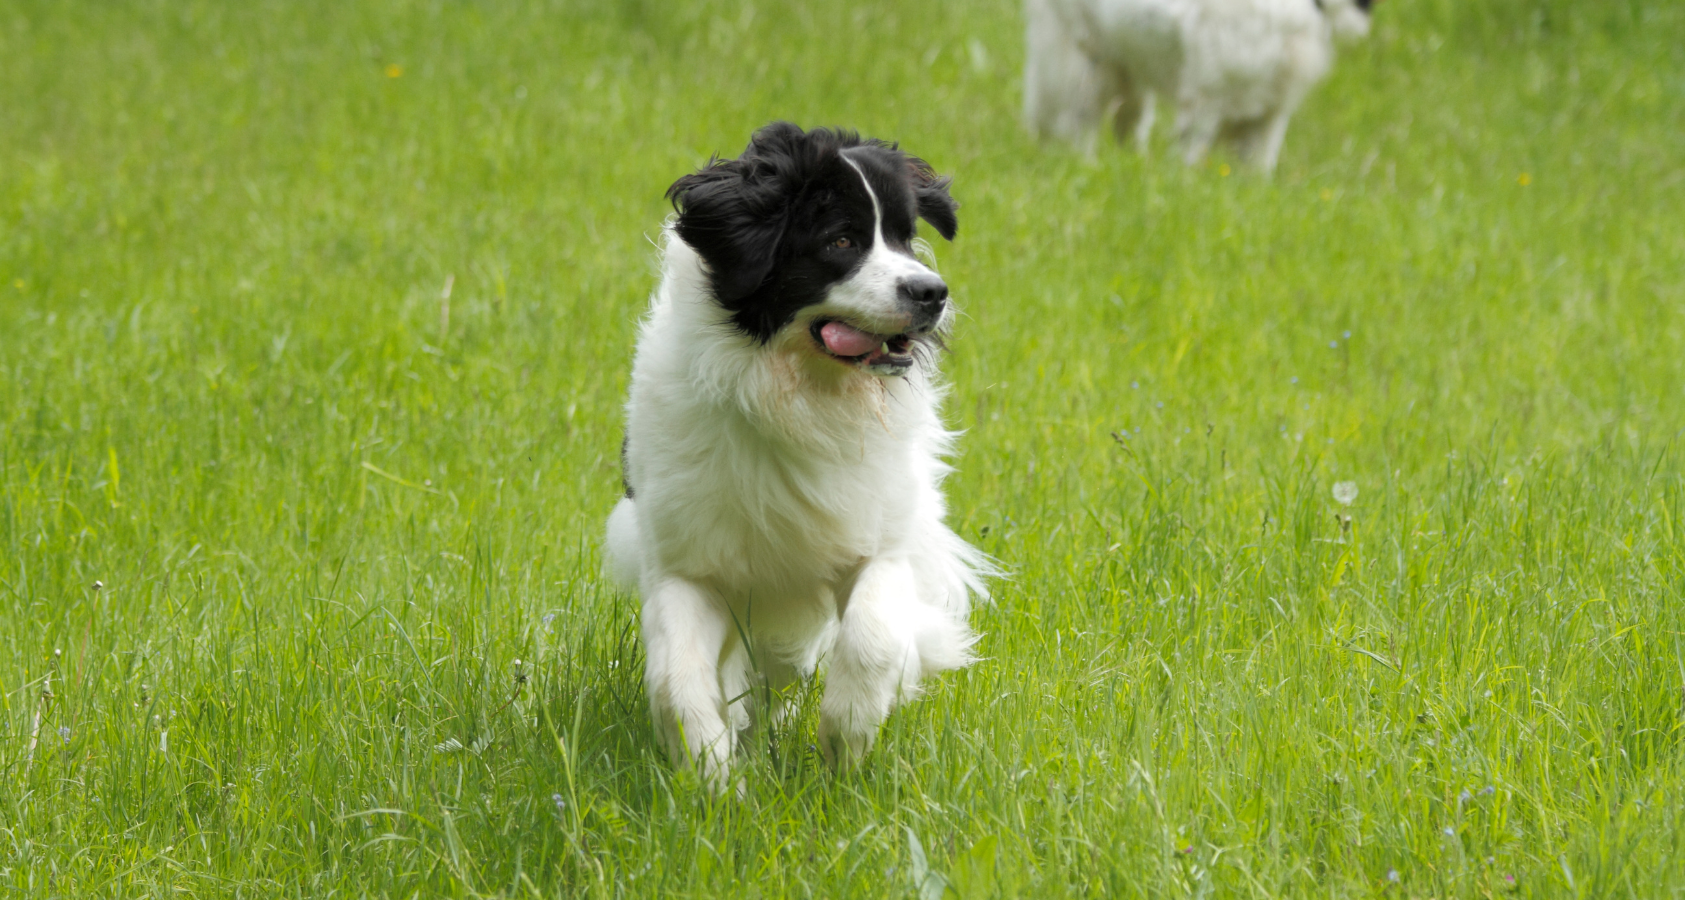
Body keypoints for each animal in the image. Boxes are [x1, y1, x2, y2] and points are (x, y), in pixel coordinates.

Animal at [609, 121, 990, 788]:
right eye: (840, 240)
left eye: (904, 237)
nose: (932, 291)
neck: (796, 397)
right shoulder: (685, 563)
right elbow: (677, 677)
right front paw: (712, 773)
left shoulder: (879, 542)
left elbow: (871, 637)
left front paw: (846, 740)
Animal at [1024, 0, 1368, 172]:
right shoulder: (1205, 99)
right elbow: (1190, 161)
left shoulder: (1272, 113)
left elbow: (1258, 171)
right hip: (1083, 57)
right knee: (1077, 124)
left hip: (1128, 68)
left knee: (1129, 125)